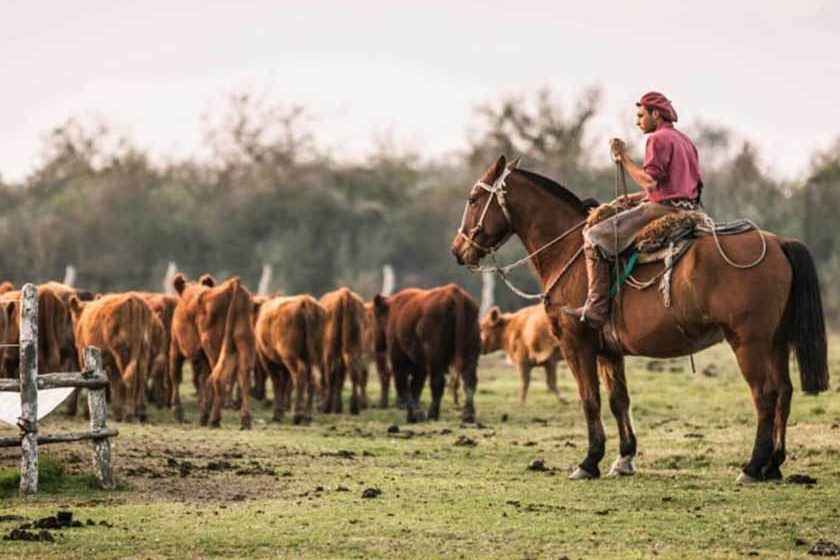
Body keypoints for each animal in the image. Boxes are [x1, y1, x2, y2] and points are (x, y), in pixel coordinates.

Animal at [171, 274, 256, 426]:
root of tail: (232, 284)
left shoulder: (176, 346)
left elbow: (176, 375)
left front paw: (178, 411)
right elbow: (202, 379)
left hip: (213, 347)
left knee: (219, 378)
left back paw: (214, 419)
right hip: (245, 342)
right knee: (244, 377)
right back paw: (245, 419)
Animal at [322, 288, 368, 416]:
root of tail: (344, 295)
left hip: (331, 350)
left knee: (331, 373)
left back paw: (327, 406)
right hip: (353, 346)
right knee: (355, 371)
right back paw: (354, 407)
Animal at [374, 284, 480, 424]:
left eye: (375, 317)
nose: (377, 345)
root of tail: (454, 292)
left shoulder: (399, 360)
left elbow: (404, 386)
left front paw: (416, 414)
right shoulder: (420, 365)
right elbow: (415, 387)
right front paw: (412, 416)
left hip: (434, 357)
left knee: (437, 381)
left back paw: (432, 414)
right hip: (469, 353)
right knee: (469, 380)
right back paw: (468, 415)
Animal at [452, 156, 828, 482]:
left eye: (473, 198)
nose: (458, 249)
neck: (570, 251)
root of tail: (779, 242)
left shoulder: (577, 345)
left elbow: (590, 400)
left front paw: (589, 461)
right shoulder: (609, 351)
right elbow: (619, 401)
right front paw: (624, 458)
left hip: (748, 342)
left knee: (764, 394)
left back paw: (752, 466)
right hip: (776, 341)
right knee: (784, 392)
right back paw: (773, 465)